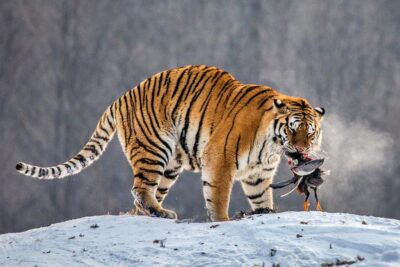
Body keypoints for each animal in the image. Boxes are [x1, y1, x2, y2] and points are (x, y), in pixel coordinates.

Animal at [15, 65, 324, 222]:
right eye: (292, 129)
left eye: (310, 133)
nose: (303, 150)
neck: (271, 146)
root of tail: (122, 97)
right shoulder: (219, 160)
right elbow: (218, 197)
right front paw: (222, 220)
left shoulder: (258, 174)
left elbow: (261, 197)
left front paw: (265, 213)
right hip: (154, 149)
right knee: (139, 189)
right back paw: (160, 213)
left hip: (169, 165)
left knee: (143, 194)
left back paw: (147, 214)